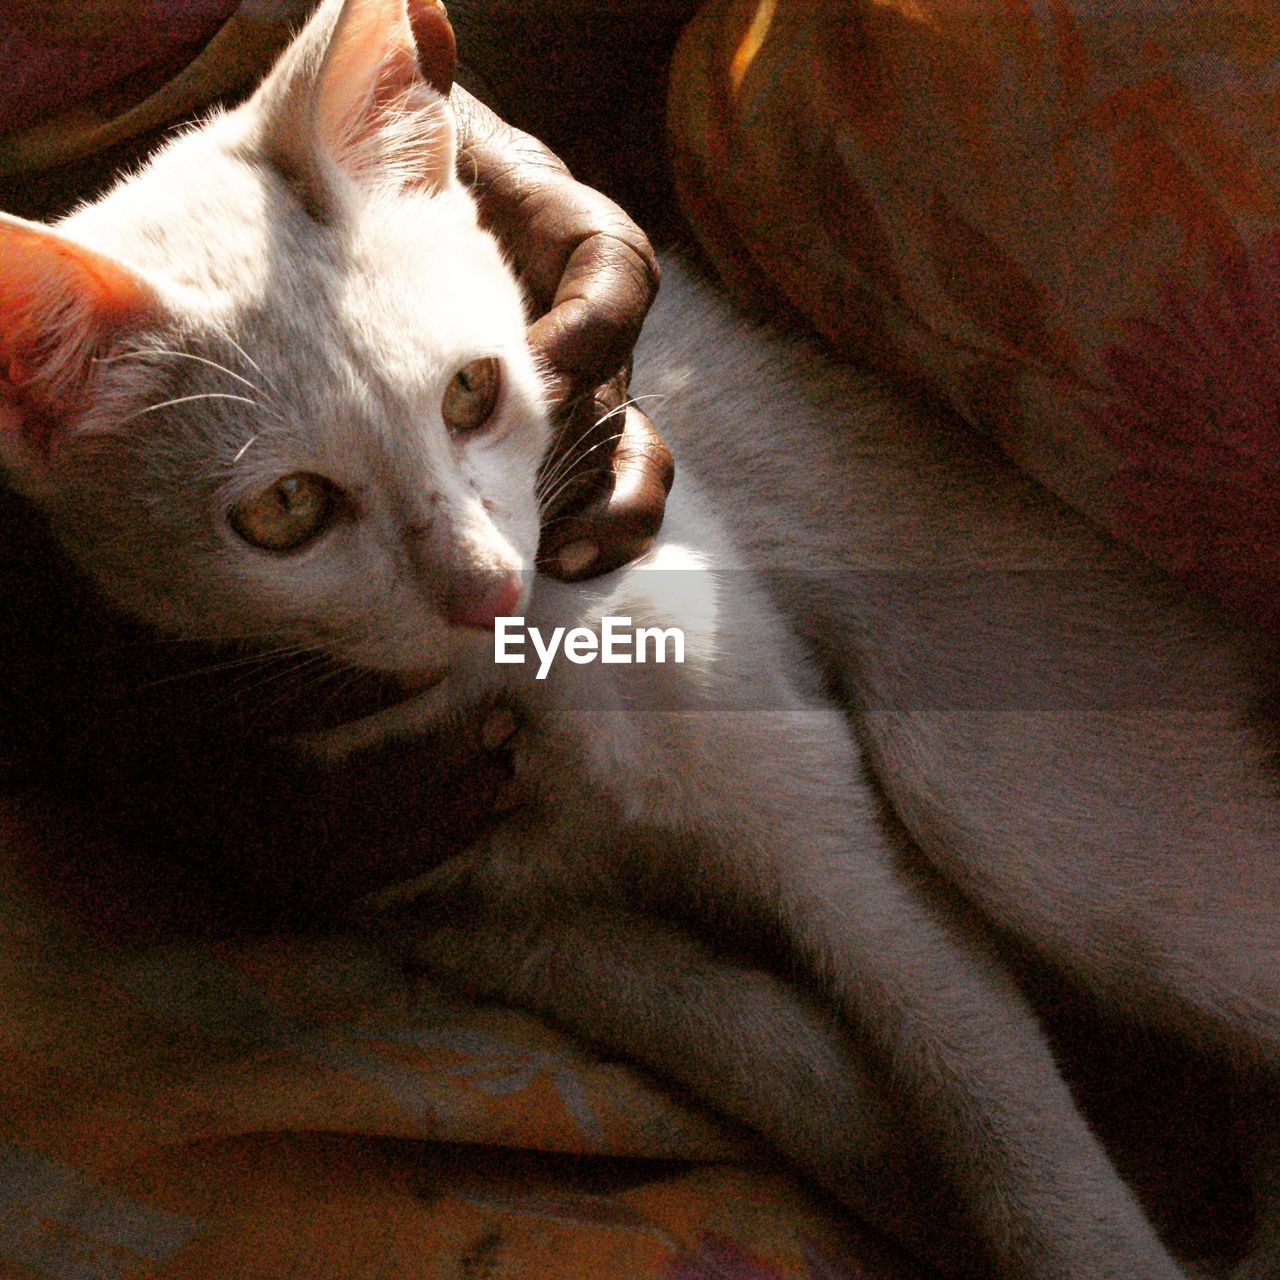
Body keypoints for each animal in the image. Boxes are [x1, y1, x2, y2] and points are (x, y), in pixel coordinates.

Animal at [0, 2, 1274, 1280]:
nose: (484, 586)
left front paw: (1072, 1233)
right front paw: (908, 1182)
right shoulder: (465, 908)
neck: (513, 686)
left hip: (1009, 797)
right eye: (284, 511)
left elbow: (983, 1083)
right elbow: (758, 1042)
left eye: (471, 393)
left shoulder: (806, 800)